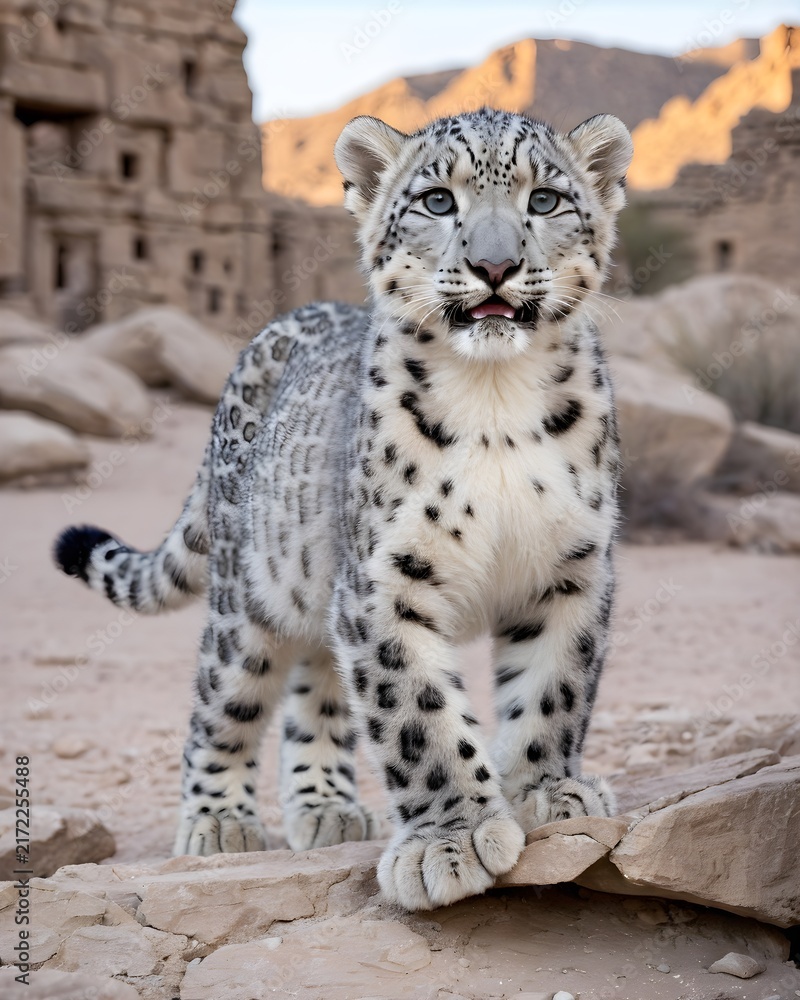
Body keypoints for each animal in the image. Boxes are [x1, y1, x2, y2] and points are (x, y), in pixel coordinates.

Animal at [54, 106, 633, 911]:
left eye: (544, 200)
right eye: (437, 201)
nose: (494, 266)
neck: (496, 400)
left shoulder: (572, 566)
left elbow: (554, 689)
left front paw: (548, 791)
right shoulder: (386, 578)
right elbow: (416, 712)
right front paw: (449, 842)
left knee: (317, 683)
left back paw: (325, 804)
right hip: (250, 594)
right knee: (222, 700)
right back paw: (219, 822)